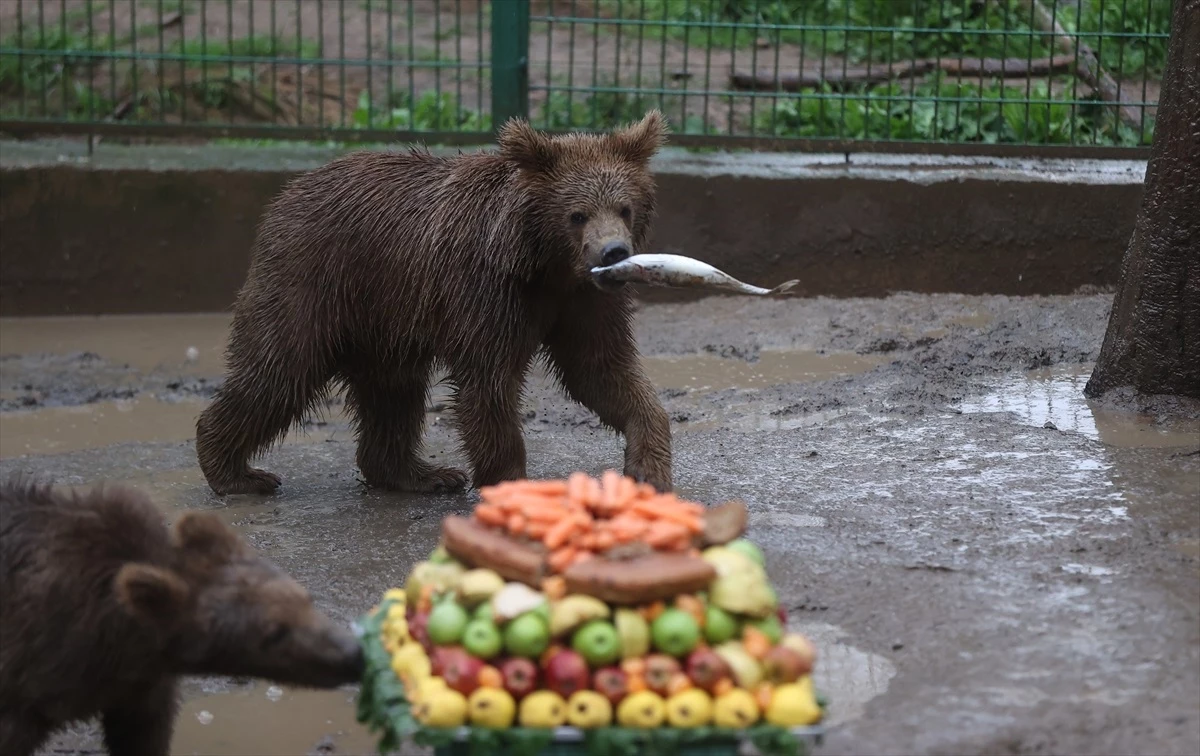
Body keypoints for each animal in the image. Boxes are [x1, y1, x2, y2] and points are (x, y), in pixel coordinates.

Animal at [0, 480, 364, 756]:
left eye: (306, 598)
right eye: (274, 632)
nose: (353, 654)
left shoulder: (140, 689)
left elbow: (142, 736)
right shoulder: (25, 690)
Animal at [192, 108, 672, 496]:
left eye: (624, 208)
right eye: (577, 214)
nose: (613, 252)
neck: (542, 264)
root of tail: (286, 193)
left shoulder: (581, 302)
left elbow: (601, 372)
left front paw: (648, 466)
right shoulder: (485, 292)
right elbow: (489, 386)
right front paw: (510, 480)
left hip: (382, 320)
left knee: (392, 392)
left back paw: (423, 474)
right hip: (313, 280)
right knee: (280, 369)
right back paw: (236, 471)